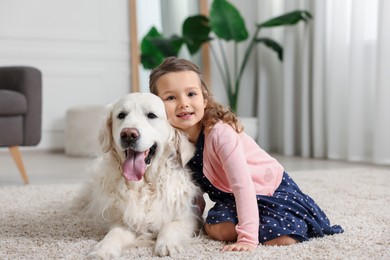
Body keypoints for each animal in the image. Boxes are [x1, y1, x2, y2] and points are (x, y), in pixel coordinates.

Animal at [78, 93, 203, 258]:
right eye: (121, 115)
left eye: (151, 115)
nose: (128, 134)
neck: (143, 185)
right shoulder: (126, 219)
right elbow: (114, 233)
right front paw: (103, 249)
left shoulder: (188, 215)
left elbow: (171, 225)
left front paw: (167, 244)